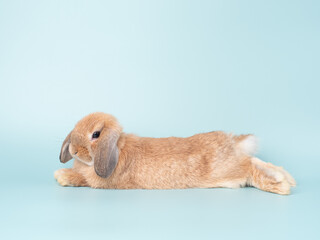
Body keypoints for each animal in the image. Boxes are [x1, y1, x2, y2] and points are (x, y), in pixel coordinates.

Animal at [54, 111, 296, 194]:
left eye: (95, 134)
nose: (73, 150)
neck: (118, 148)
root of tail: (233, 142)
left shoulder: (101, 181)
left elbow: (82, 179)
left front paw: (61, 176)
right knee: (255, 160)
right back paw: (289, 179)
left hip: (229, 171)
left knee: (250, 168)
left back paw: (281, 185)